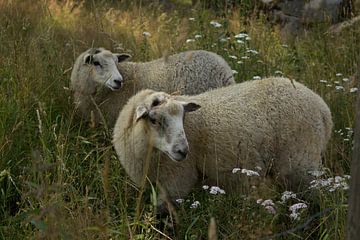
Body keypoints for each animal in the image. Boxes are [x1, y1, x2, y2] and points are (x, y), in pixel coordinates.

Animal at [113, 77, 334, 210]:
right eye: (154, 120)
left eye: (183, 117)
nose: (183, 151)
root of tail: (323, 110)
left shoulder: (177, 182)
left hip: (301, 163)